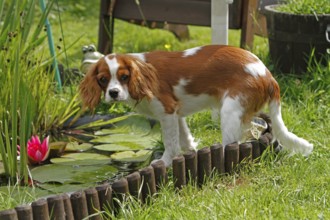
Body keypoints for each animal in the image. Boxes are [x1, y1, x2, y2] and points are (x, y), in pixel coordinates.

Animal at [78, 44, 314, 166]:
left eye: (124, 77)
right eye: (103, 80)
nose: (114, 93)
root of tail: (268, 75)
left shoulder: (167, 112)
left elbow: (171, 143)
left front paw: (165, 162)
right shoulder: (176, 114)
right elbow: (184, 140)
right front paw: (191, 152)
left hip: (230, 111)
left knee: (233, 143)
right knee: (254, 130)